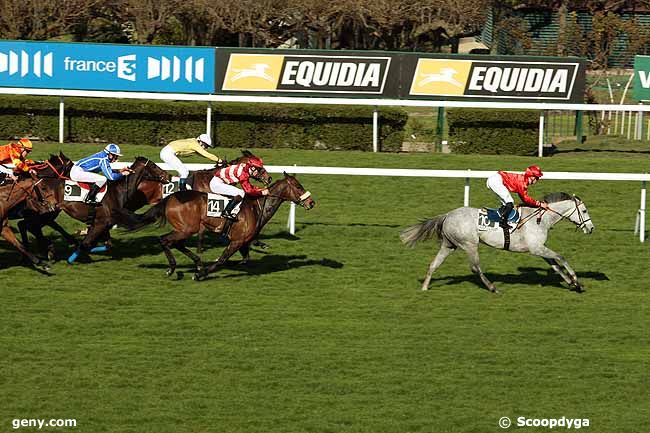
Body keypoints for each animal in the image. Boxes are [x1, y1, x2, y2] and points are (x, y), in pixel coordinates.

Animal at [132, 172, 314, 280]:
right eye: (298, 186)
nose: (311, 202)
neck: (257, 208)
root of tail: (169, 198)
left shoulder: (243, 242)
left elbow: (244, 259)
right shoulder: (237, 241)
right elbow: (222, 259)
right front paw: (201, 274)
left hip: (184, 229)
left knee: (175, 243)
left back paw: (196, 263)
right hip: (186, 229)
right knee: (164, 240)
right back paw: (173, 268)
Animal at [402, 192, 596, 294]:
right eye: (585, 211)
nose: (591, 228)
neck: (541, 219)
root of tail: (447, 215)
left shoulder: (539, 249)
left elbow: (555, 266)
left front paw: (573, 283)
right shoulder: (536, 248)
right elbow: (561, 258)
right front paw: (576, 280)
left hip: (449, 245)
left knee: (434, 264)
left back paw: (425, 287)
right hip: (470, 244)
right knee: (475, 268)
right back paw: (492, 287)